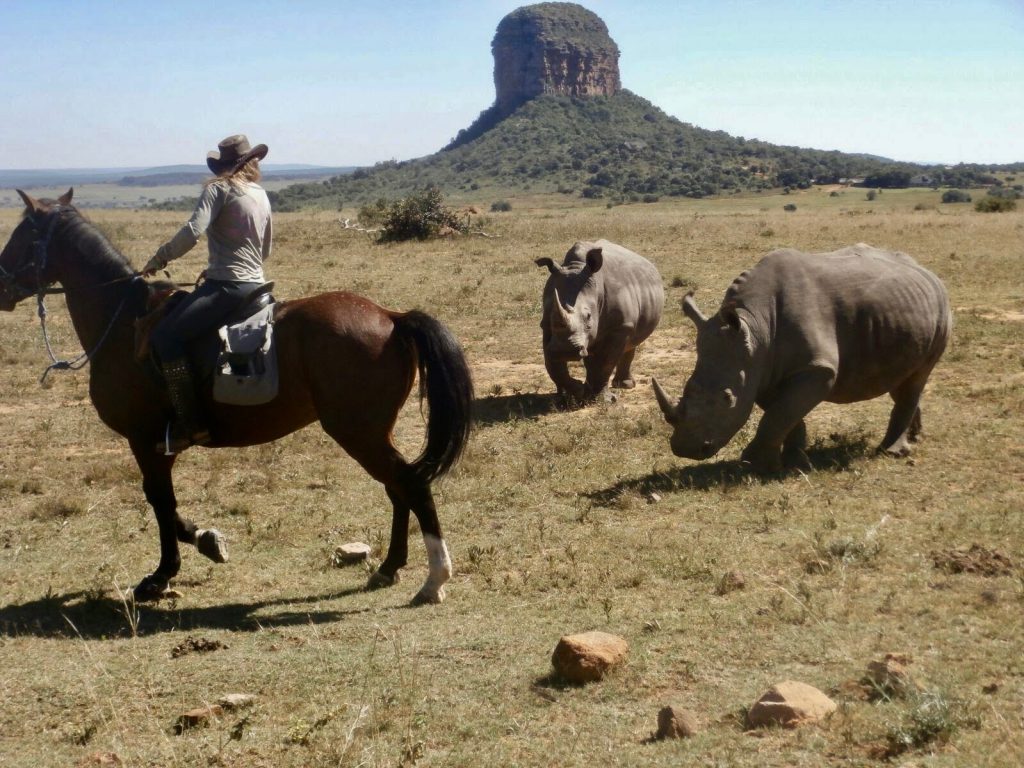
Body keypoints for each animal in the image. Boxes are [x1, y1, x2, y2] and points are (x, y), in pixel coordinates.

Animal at [0, 189, 474, 604]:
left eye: (21, 236)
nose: (1, 287)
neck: (123, 322)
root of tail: (392, 317)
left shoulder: (146, 440)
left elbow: (160, 500)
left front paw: (161, 574)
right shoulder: (155, 444)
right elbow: (166, 505)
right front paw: (207, 541)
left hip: (359, 433)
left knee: (412, 484)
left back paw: (434, 579)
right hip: (373, 434)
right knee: (398, 488)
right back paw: (390, 567)